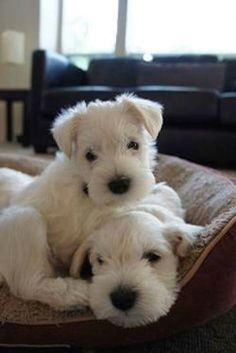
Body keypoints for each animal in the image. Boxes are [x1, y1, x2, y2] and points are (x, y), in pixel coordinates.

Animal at [0, 95, 162, 310]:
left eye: (133, 144)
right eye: (90, 155)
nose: (119, 184)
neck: (86, 187)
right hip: (23, 220)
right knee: (30, 284)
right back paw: (79, 292)